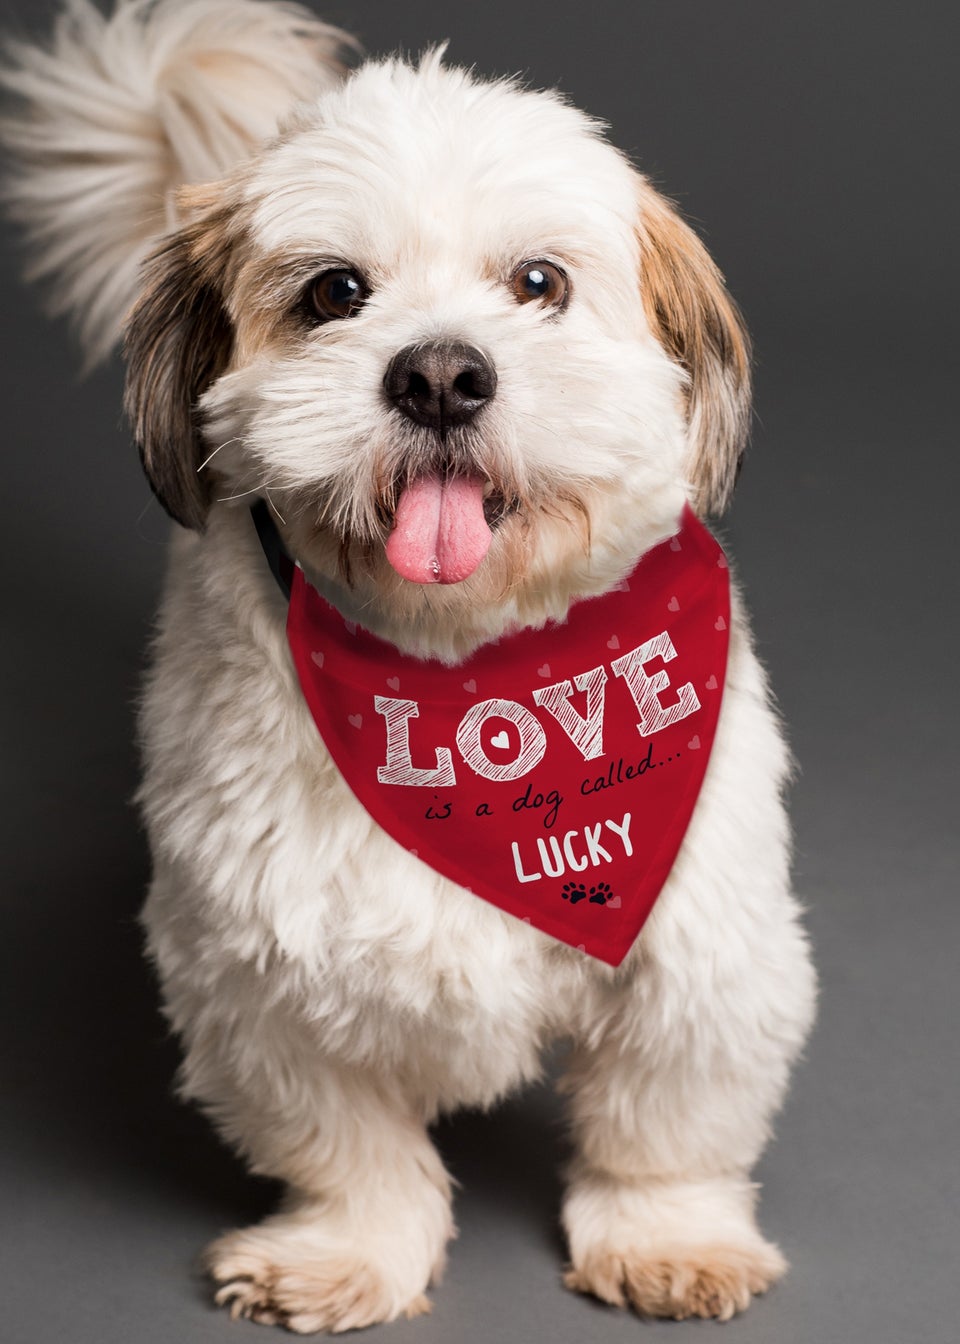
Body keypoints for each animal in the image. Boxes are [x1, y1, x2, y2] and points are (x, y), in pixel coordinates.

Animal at [1, 0, 817, 1322]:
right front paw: (348, 1251)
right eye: (335, 292)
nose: (439, 370)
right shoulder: (254, 973)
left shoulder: (702, 948)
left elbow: (665, 1124)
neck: (468, 679)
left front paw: (669, 1235)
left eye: (539, 283)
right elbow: (349, 1146)